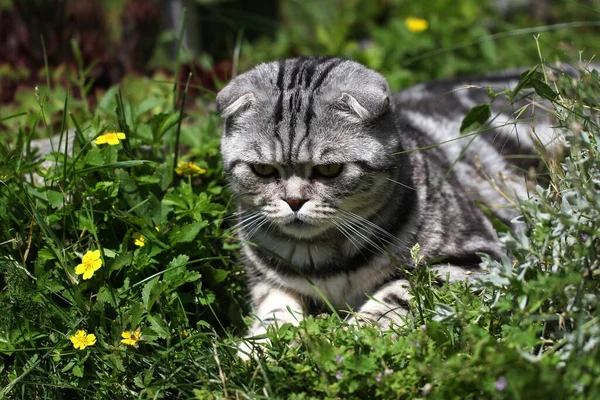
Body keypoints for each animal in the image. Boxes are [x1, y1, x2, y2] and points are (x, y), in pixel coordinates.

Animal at [216, 56, 552, 354]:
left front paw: (351, 334)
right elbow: (275, 311)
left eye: (329, 170)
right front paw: (259, 347)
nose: (294, 201)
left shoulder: (476, 258)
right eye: (263, 170)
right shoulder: (266, 279)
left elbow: (398, 292)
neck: (326, 258)